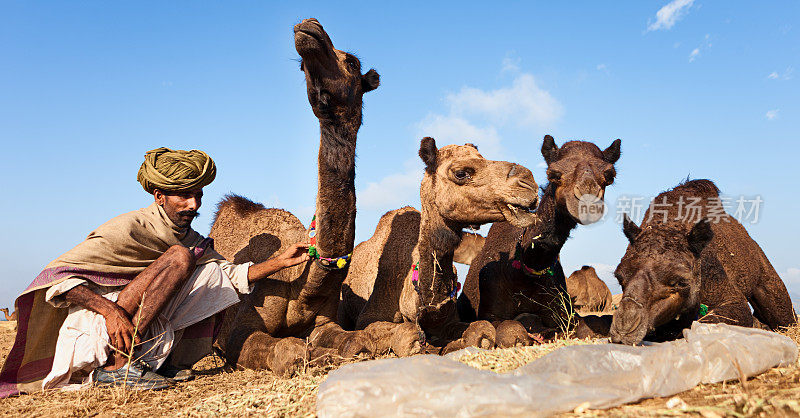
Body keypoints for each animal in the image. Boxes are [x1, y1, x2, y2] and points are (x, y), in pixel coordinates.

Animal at [206, 18, 382, 374]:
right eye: (302, 66)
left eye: (353, 63)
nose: (309, 28)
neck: (305, 284)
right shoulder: (240, 330)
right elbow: (288, 350)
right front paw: (316, 356)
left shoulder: (326, 321)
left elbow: (353, 340)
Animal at [338, 139, 536, 354]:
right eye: (460, 173)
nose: (528, 183)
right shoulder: (369, 317)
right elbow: (401, 329)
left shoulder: (449, 318)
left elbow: (480, 328)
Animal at [456, 136, 624, 344]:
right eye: (553, 173)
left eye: (610, 175)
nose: (587, 204)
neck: (522, 271)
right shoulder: (491, 313)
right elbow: (509, 326)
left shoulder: (565, 312)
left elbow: (594, 323)